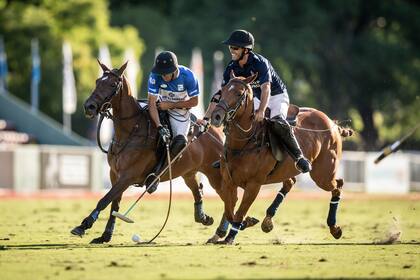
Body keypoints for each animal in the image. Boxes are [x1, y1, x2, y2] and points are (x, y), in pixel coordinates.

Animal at [71, 60, 230, 243]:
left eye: (112, 84)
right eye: (97, 81)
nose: (89, 106)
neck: (130, 130)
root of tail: (217, 133)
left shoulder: (128, 176)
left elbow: (105, 200)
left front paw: (84, 225)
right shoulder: (115, 174)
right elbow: (114, 204)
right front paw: (105, 235)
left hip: (215, 173)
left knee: (229, 197)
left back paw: (223, 232)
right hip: (188, 172)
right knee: (198, 190)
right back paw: (204, 218)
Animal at [212, 72, 352, 245]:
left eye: (239, 94)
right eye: (222, 90)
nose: (216, 116)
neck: (243, 142)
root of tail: (333, 123)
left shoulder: (254, 184)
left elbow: (239, 211)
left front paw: (232, 236)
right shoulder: (228, 181)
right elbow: (230, 210)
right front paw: (245, 222)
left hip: (323, 174)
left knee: (338, 185)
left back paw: (334, 228)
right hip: (290, 170)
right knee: (290, 182)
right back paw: (267, 220)